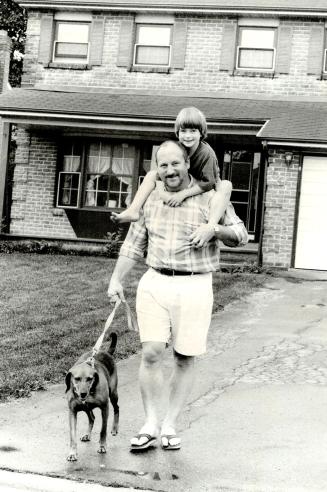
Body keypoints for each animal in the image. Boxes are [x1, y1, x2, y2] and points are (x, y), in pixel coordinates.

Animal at [65, 330, 119, 462]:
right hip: (86, 408)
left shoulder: (105, 408)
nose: (83, 394)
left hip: (113, 394)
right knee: (92, 418)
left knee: (117, 408)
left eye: (90, 379)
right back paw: (87, 434)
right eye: (77, 379)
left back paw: (114, 428)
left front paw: (102, 446)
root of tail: (106, 352)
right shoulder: (72, 411)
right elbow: (72, 436)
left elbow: (103, 431)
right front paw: (72, 453)